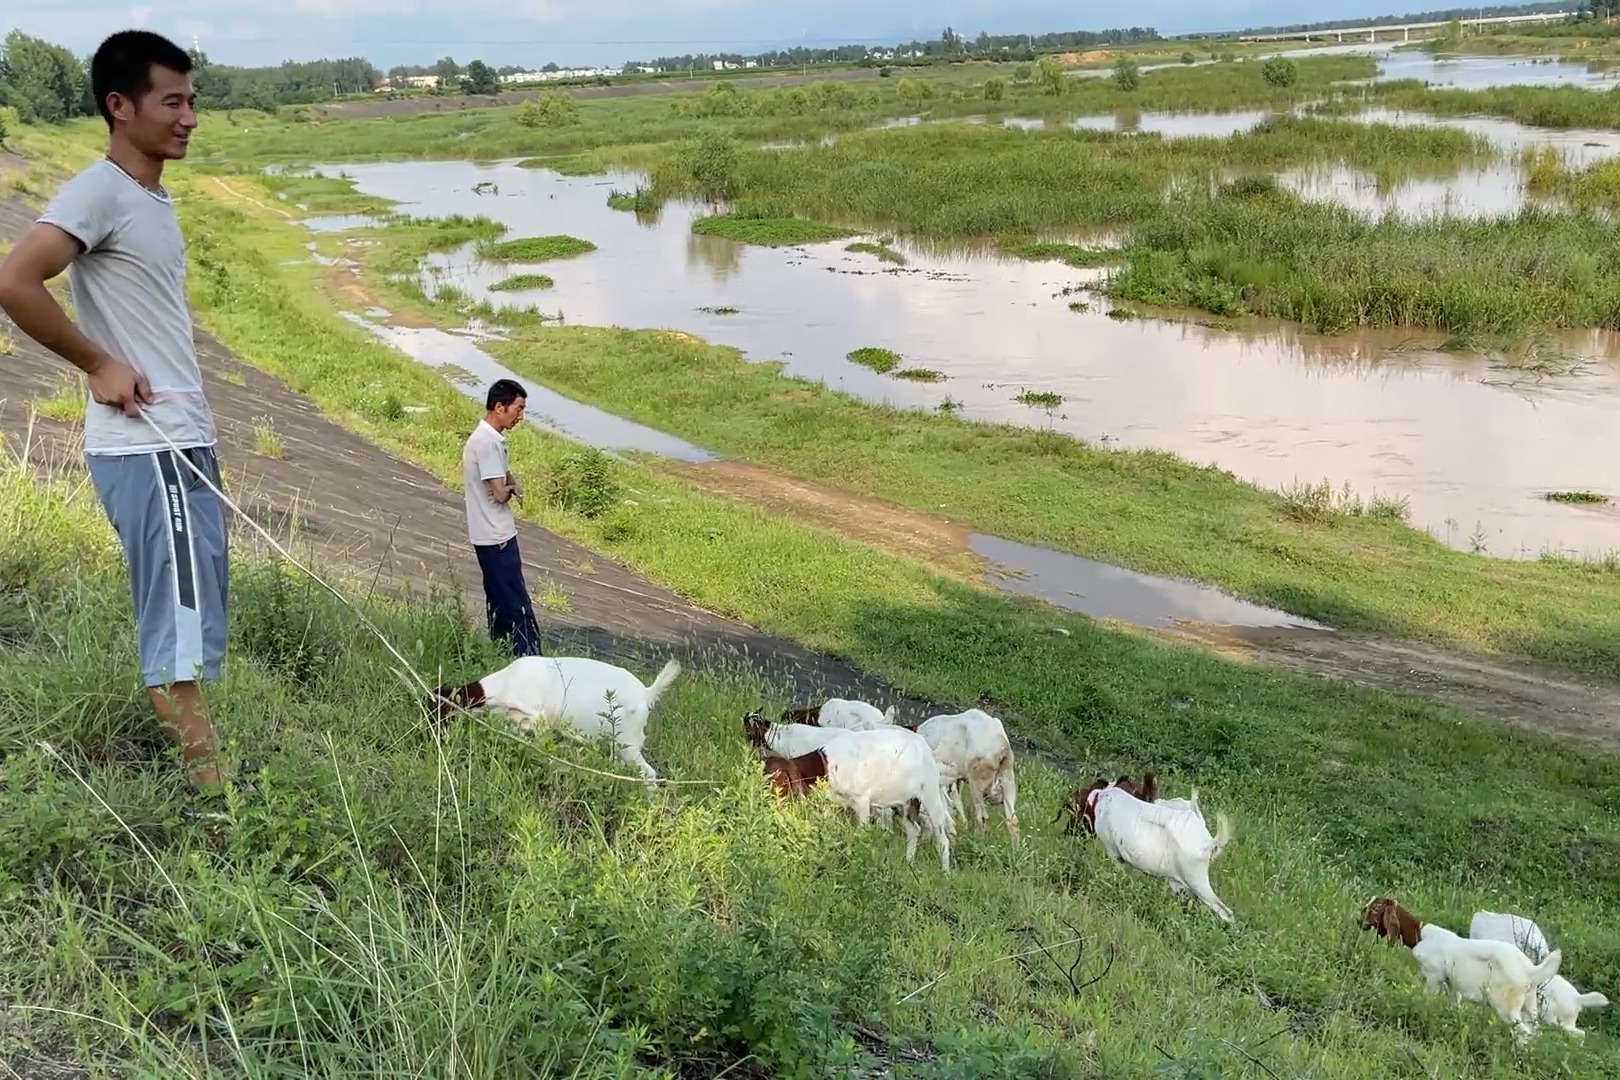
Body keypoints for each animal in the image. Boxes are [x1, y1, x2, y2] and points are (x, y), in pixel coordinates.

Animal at [430, 654, 677, 790]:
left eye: (439, 711)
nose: (435, 737)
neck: (502, 685)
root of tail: (647, 693)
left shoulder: (539, 720)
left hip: (628, 745)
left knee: (649, 774)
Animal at [920, 705, 1017, 848]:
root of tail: (1000, 745)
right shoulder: (955, 779)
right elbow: (956, 802)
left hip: (977, 782)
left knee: (981, 817)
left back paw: (977, 841)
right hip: (1007, 779)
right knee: (1012, 820)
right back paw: (1016, 849)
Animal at [1360, 893, 1561, 1036]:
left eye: (1375, 908)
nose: (1359, 921)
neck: (1421, 936)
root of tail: (1530, 970)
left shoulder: (1434, 976)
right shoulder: (1452, 986)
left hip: (1506, 1005)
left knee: (1524, 1033)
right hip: (1529, 1005)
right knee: (1534, 1032)